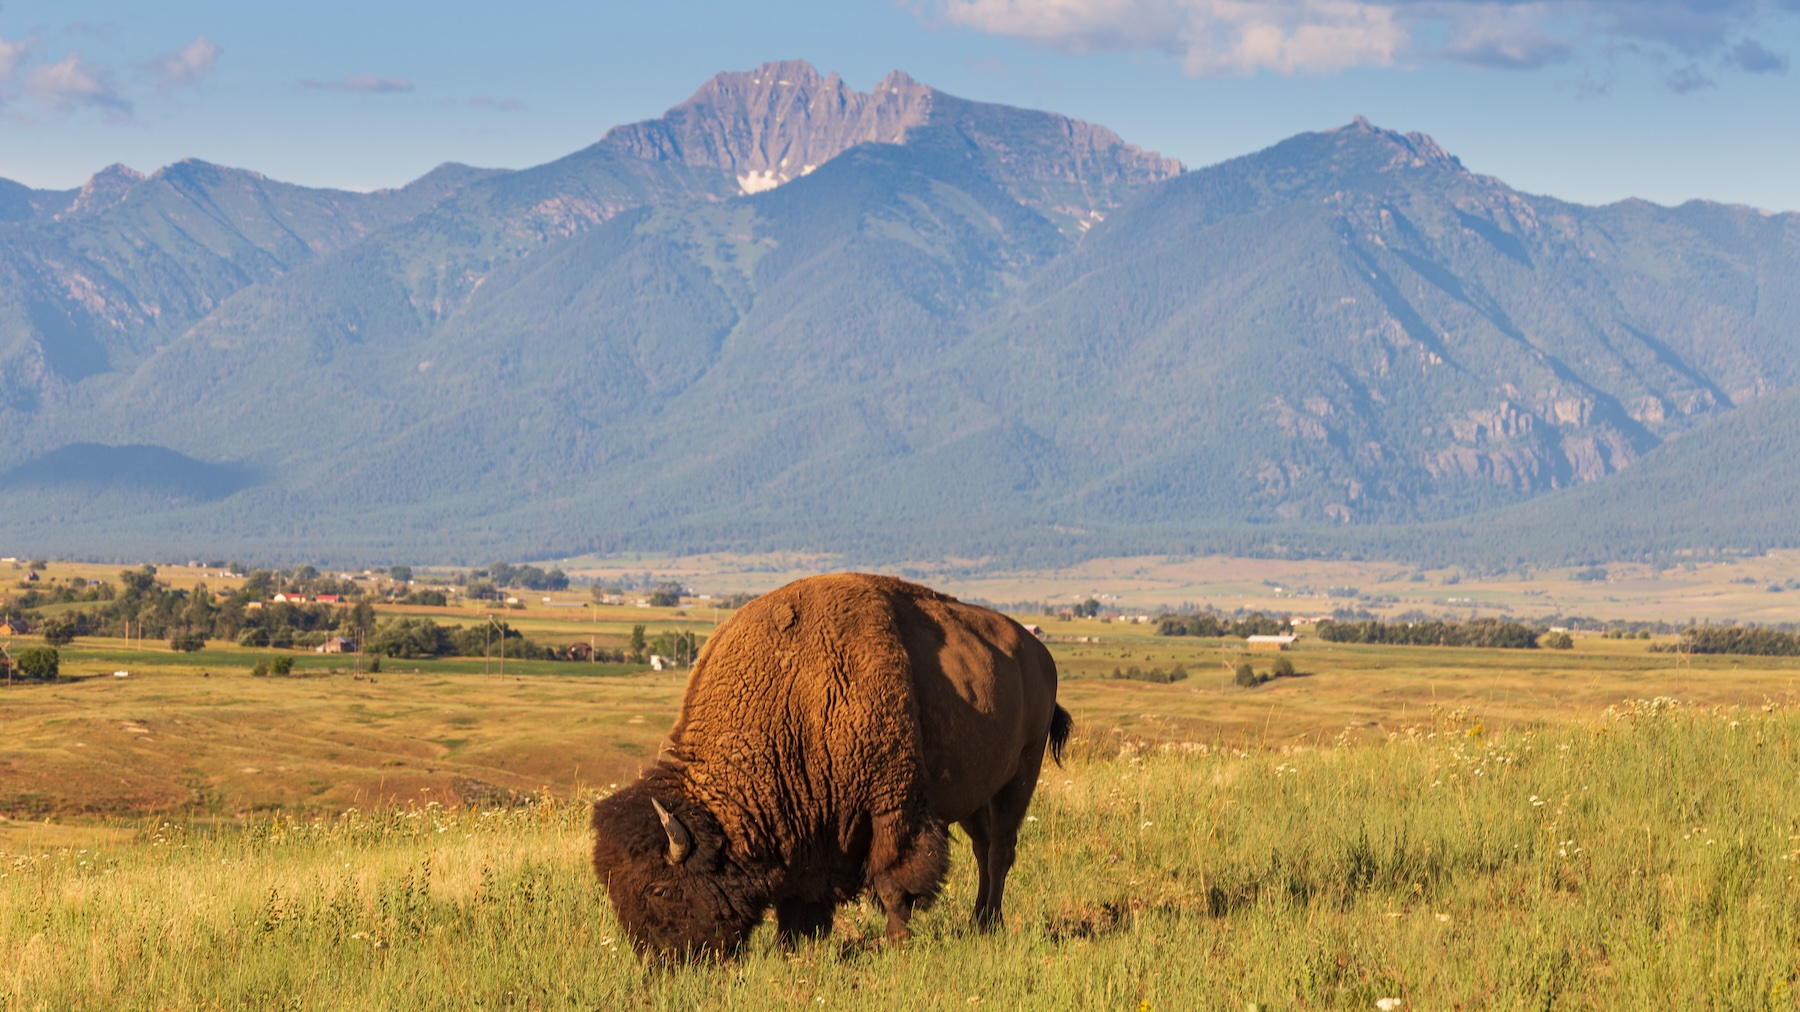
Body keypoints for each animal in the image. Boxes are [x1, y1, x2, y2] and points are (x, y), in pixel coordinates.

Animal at [590, 572, 1071, 958]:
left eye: (659, 888)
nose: (660, 959)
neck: (792, 695)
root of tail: (1040, 654)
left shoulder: (892, 807)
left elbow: (893, 879)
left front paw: (895, 941)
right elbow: (801, 893)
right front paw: (792, 944)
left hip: (1020, 777)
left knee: (1001, 850)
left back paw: (989, 922)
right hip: (975, 796)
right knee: (983, 847)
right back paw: (978, 920)